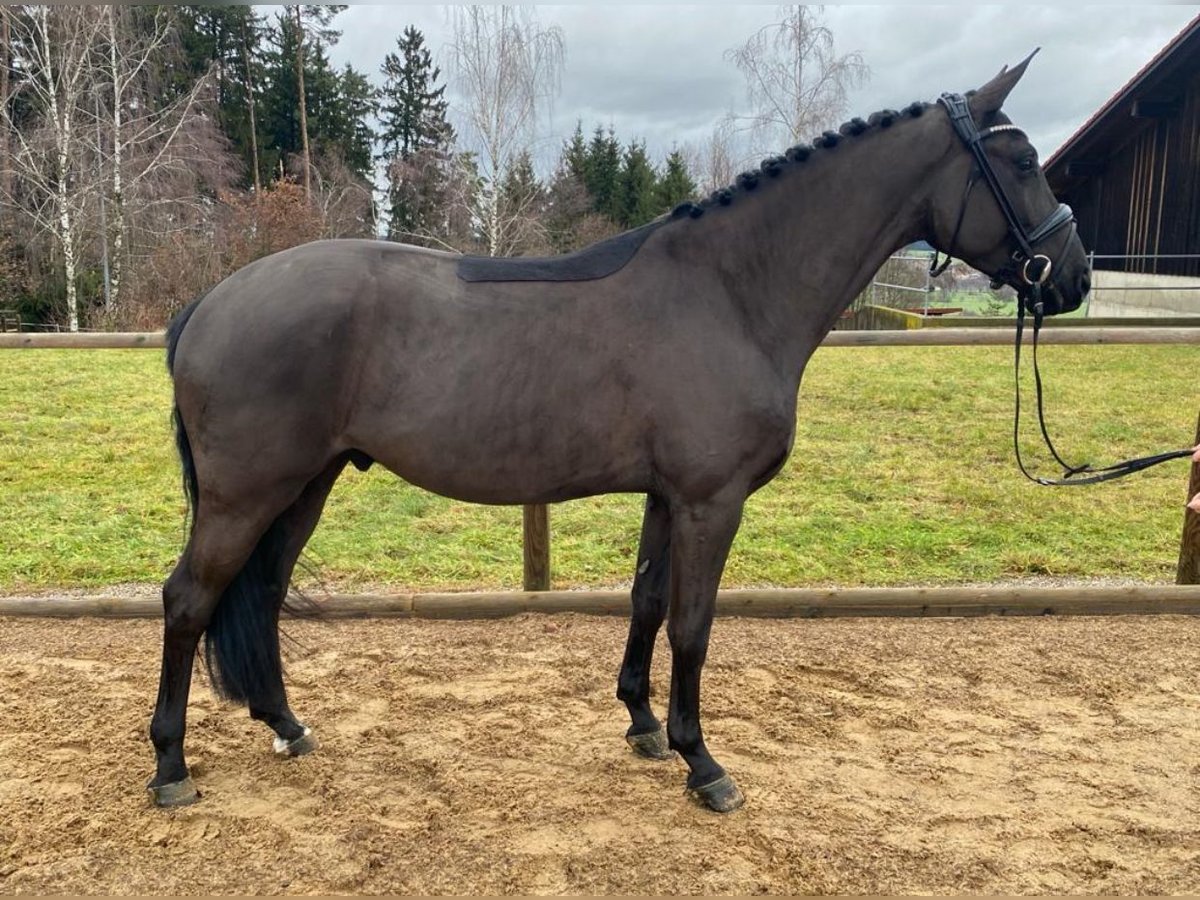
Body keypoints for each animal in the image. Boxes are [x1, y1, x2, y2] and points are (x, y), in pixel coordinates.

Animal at [147, 60, 1089, 816]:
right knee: (189, 600)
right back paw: (170, 768)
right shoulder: (713, 503)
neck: (729, 292)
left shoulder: (668, 498)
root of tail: (208, 304)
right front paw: (704, 764)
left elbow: (646, 602)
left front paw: (642, 726)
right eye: (1024, 162)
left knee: (262, 594)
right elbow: (694, 626)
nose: (1073, 278)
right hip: (246, 493)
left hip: (308, 483)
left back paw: (286, 724)